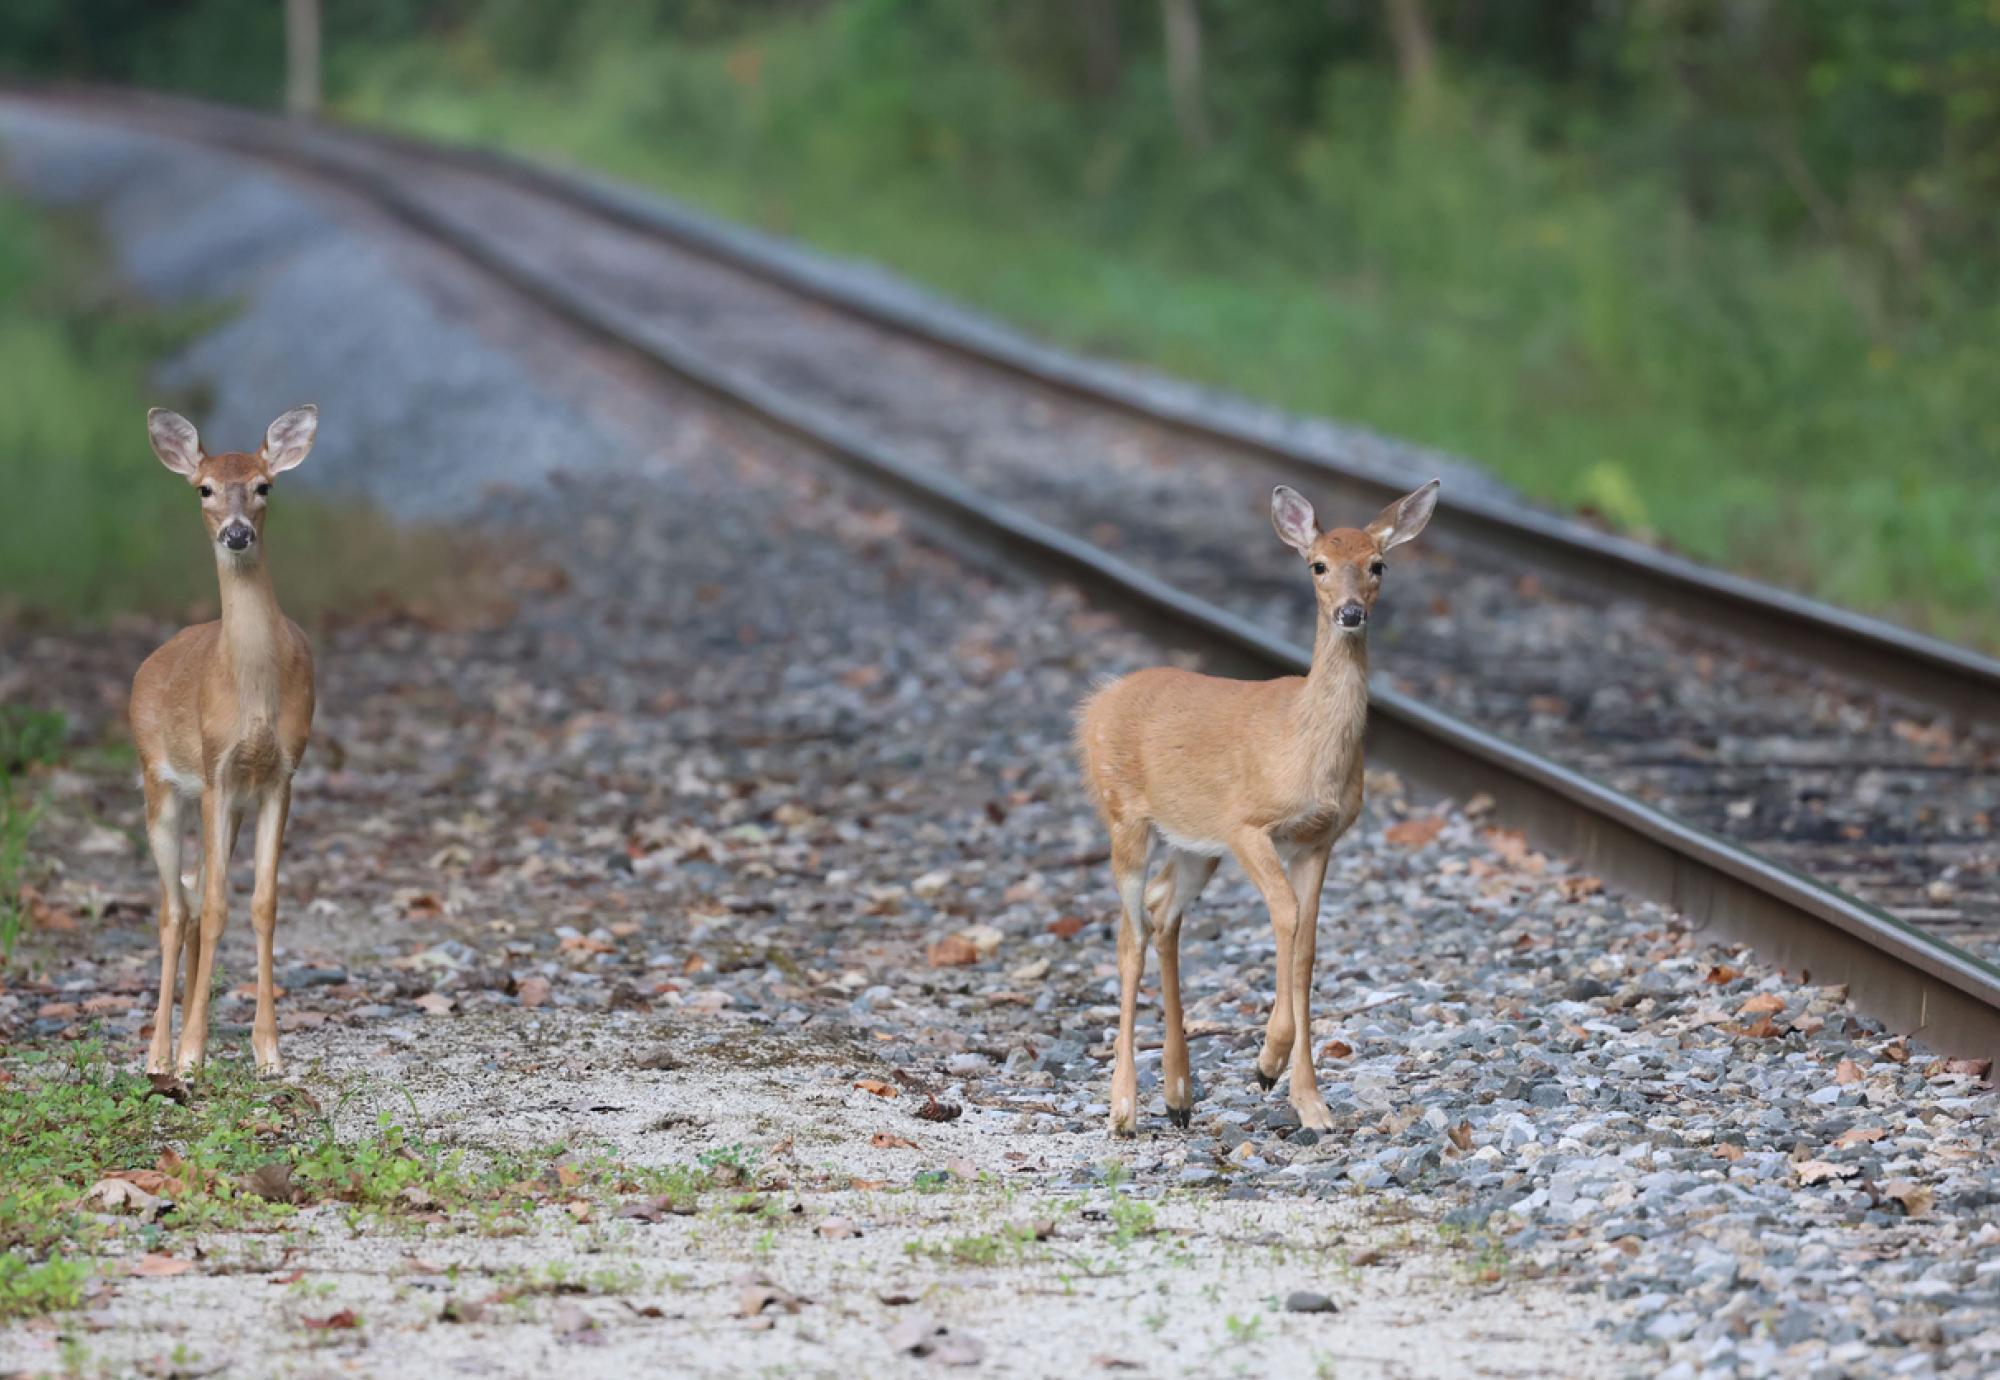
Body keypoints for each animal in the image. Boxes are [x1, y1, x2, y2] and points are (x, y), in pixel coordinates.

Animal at [131, 404, 320, 1072]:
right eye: (204, 489)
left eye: (265, 486)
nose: (236, 534)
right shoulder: (215, 768)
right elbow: (215, 907)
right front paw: (190, 1053)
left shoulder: (279, 775)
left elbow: (262, 904)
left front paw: (269, 1051)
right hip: (160, 784)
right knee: (173, 907)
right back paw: (161, 1055)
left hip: (225, 804)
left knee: (189, 894)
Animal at [1080, 478, 1440, 1136]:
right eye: (1318, 564)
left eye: (1378, 564)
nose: (1351, 612)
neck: (1303, 743)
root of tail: (1099, 701)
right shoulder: (1247, 825)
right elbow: (1287, 917)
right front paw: (1270, 1062)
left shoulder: (1320, 838)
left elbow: (1308, 943)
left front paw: (1309, 1100)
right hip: (1125, 818)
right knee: (1130, 932)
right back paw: (1124, 1107)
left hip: (1194, 847)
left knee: (1162, 912)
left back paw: (1179, 1094)